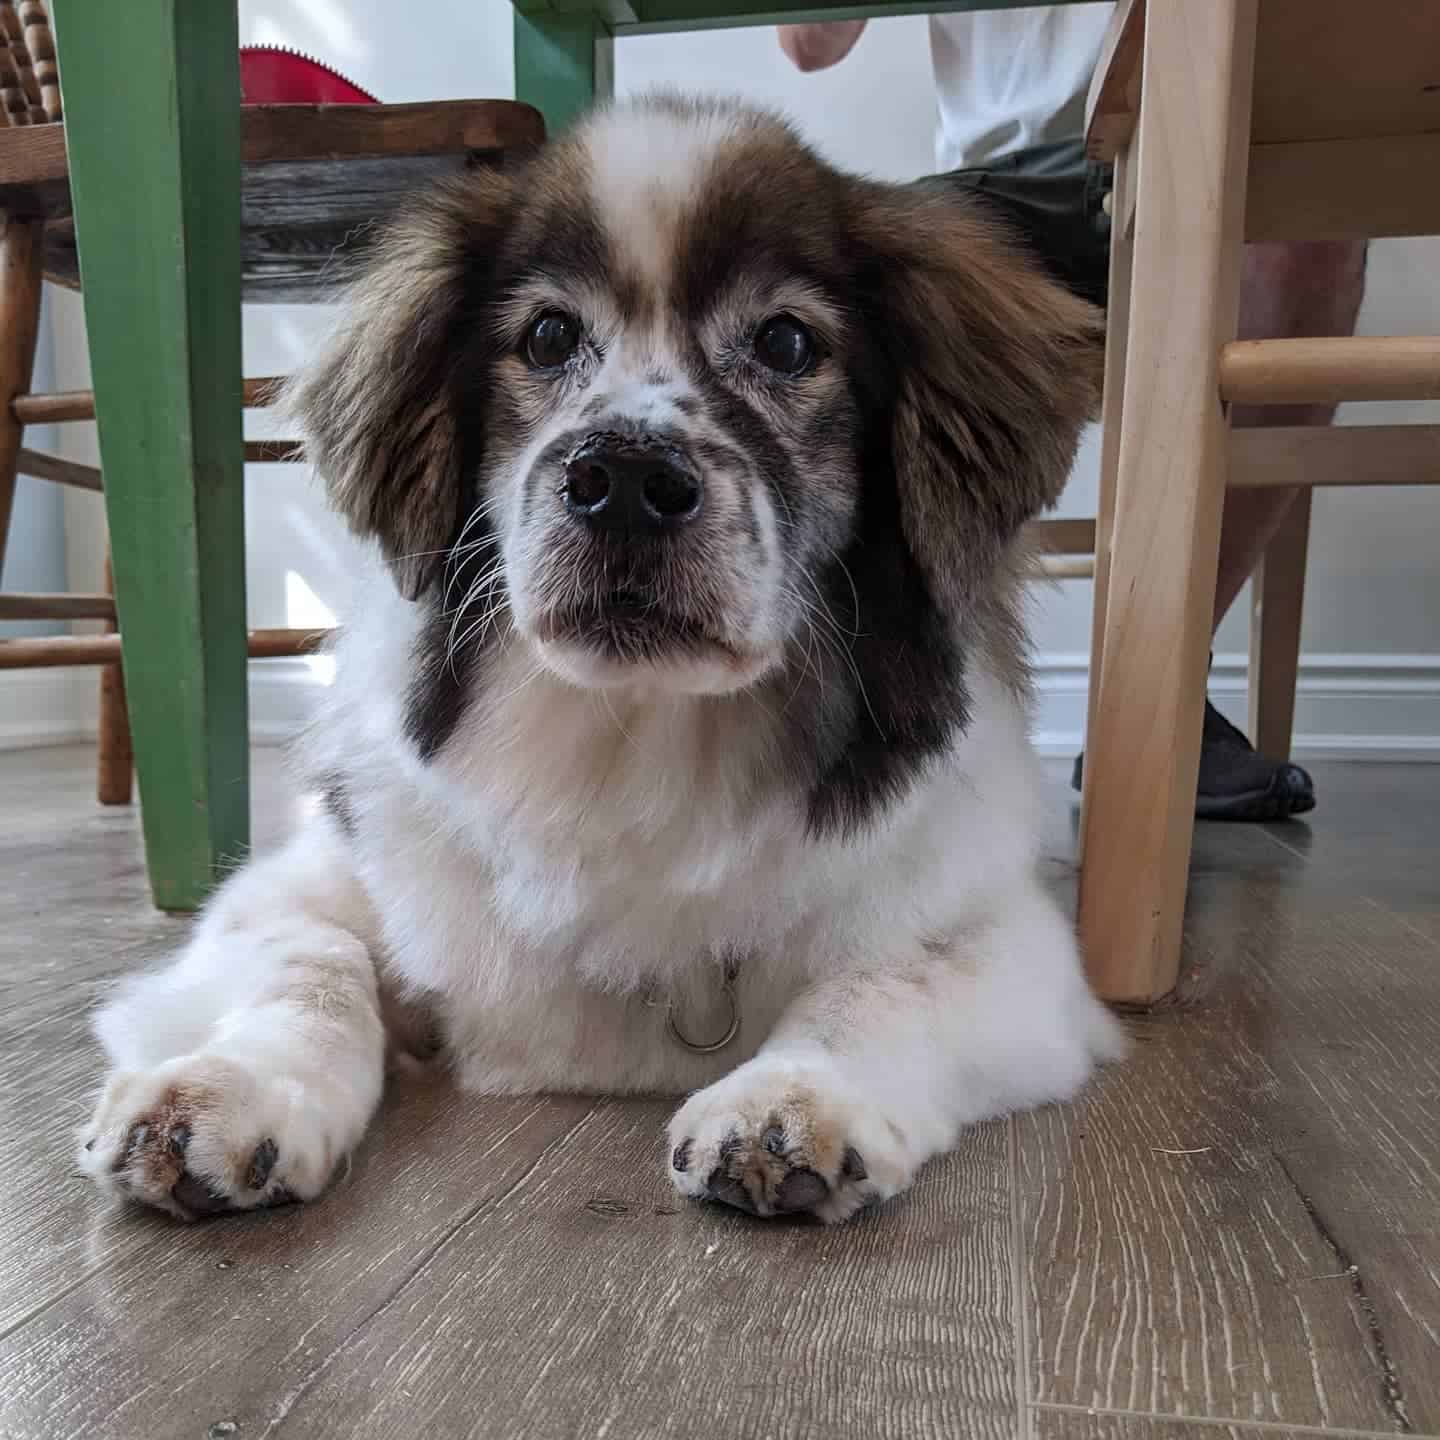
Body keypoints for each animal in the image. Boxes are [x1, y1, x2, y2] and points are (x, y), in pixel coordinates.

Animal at [78, 95, 1123, 1221]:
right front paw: (225, 1091)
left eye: (788, 342)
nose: (620, 478)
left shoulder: (1010, 946)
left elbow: (881, 983)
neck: (639, 743)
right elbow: (311, 959)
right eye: (547, 335)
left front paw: (793, 1097)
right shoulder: (294, 888)